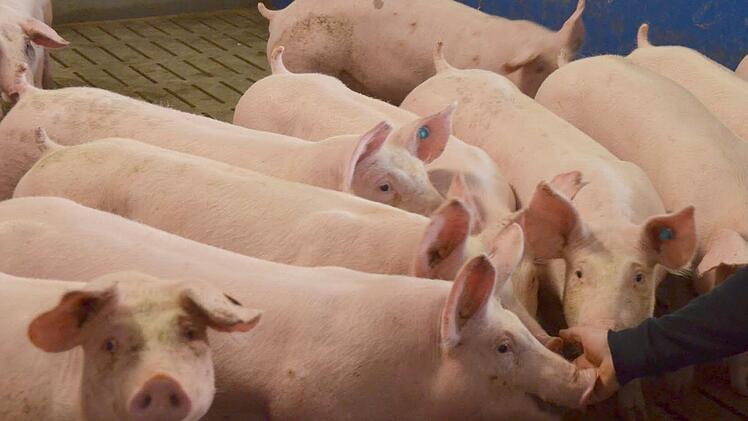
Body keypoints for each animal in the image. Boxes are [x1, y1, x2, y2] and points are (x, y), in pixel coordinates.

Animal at [401, 48, 697, 419]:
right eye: (580, 272)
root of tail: (447, 69)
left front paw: (636, 412)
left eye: (640, 277)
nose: (601, 331)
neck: (611, 219)